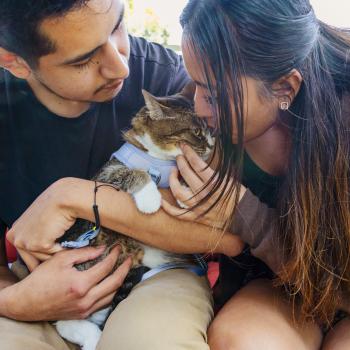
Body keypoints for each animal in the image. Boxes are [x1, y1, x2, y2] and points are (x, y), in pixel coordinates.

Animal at [54, 90, 213, 350]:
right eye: (196, 131)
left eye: (207, 129)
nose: (212, 143)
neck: (159, 159)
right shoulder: (106, 174)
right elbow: (132, 172)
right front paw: (150, 197)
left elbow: (183, 177)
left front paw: (189, 194)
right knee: (65, 320)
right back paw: (91, 336)